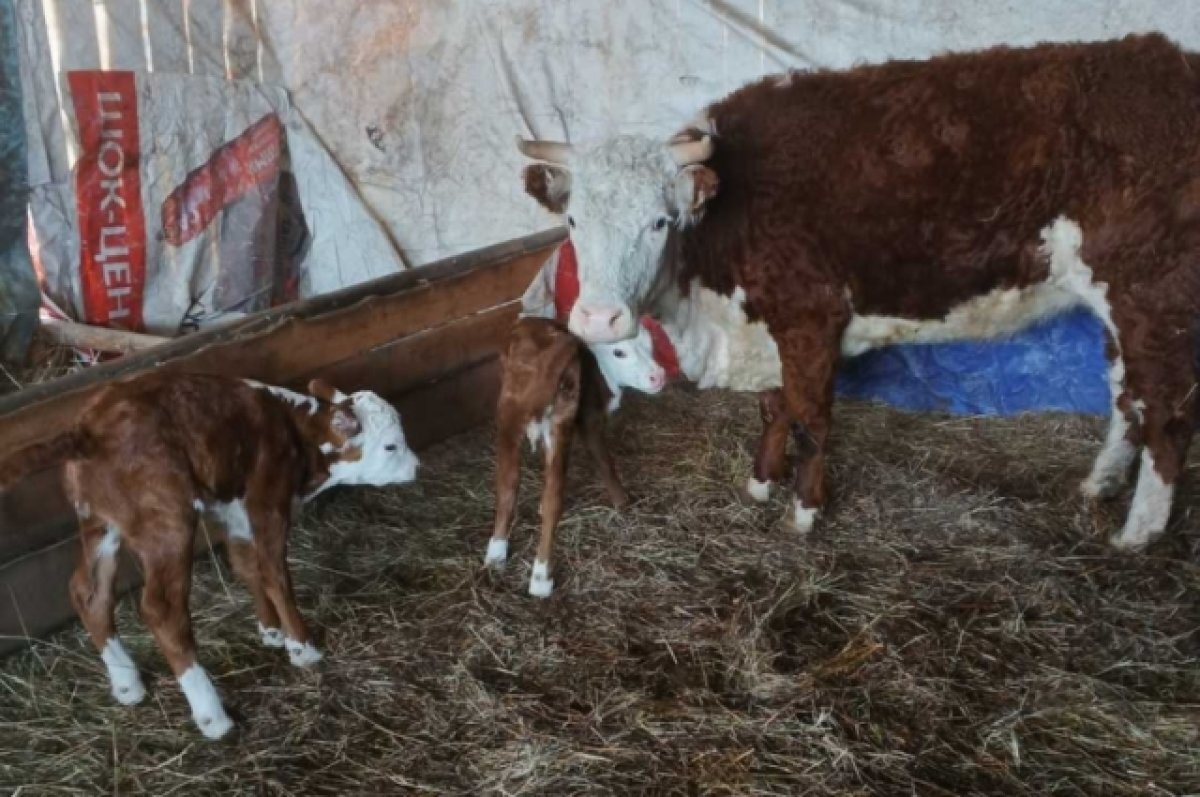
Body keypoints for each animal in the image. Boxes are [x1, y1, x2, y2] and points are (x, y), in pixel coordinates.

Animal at [0, 374, 417, 739]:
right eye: (391, 446)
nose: (416, 466)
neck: (298, 433)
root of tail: (86, 431)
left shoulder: (234, 509)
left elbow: (247, 566)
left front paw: (271, 631)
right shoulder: (267, 501)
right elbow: (275, 575)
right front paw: (303, 648)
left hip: (99, 522)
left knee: (89, 593)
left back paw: (127, 684)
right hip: (167, 521)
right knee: (161, 609)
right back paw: (212, 716)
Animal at [520, 34, 1200, 552]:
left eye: (659, 222)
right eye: (573, 220)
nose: (599, 319)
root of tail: (1167, 60)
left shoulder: (810, 316)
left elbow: (811, 416)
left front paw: (803, 511)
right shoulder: (767, 324)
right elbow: (774, 406)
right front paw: (761, 483)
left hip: (1149, 294)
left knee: (1167, 414)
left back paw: (1137, 532)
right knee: (1126, 395)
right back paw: (1099, 484)